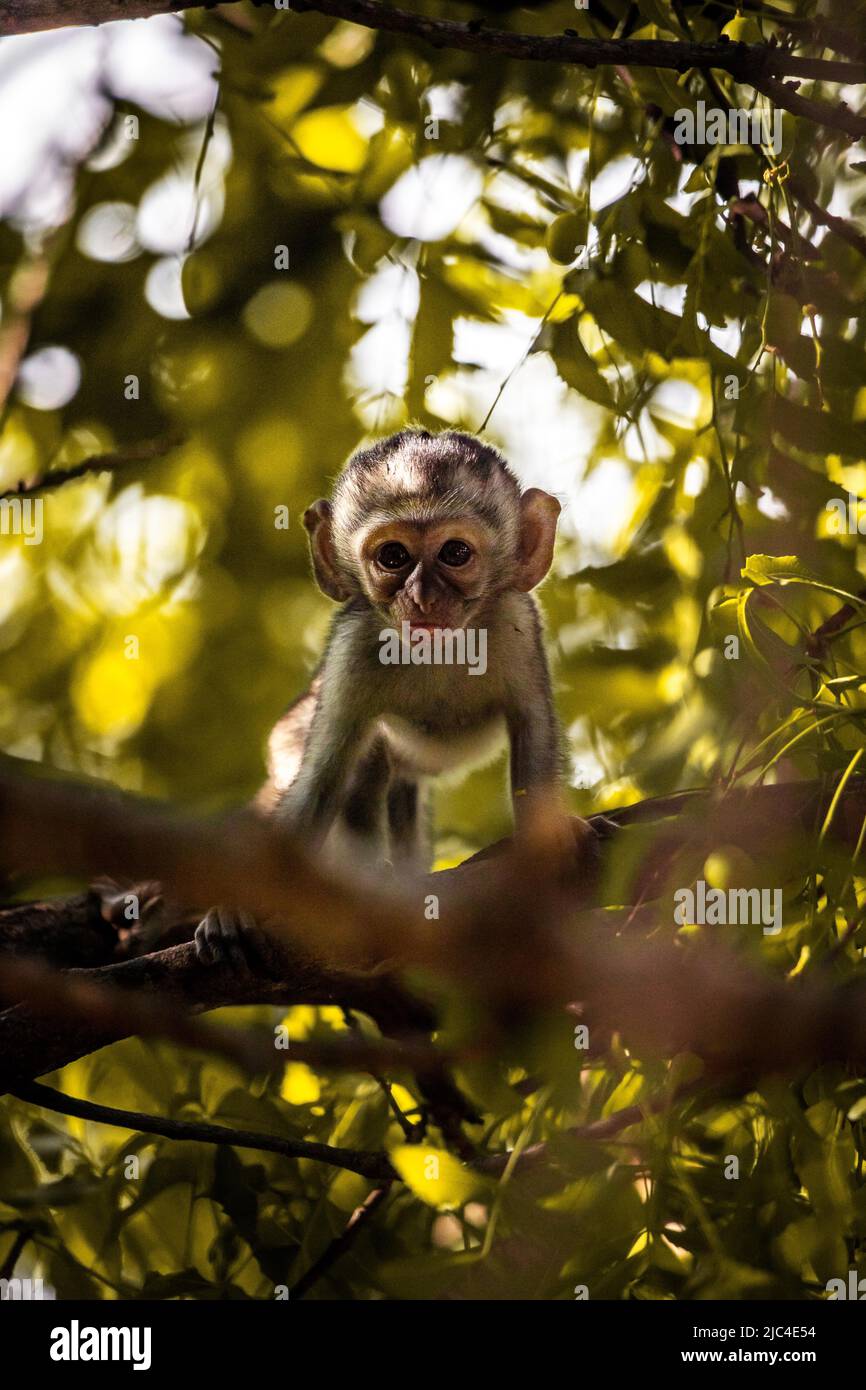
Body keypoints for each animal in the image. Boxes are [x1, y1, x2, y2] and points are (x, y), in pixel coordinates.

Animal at [195, 428, 566, 966]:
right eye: (393, 557)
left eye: (455, 553)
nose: (423, 597)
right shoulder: (354, 647)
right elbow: (323, 779)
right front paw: (237, 906)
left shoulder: (516, 621)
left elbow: (532, 727)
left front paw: (551, 841)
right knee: (365, 764)